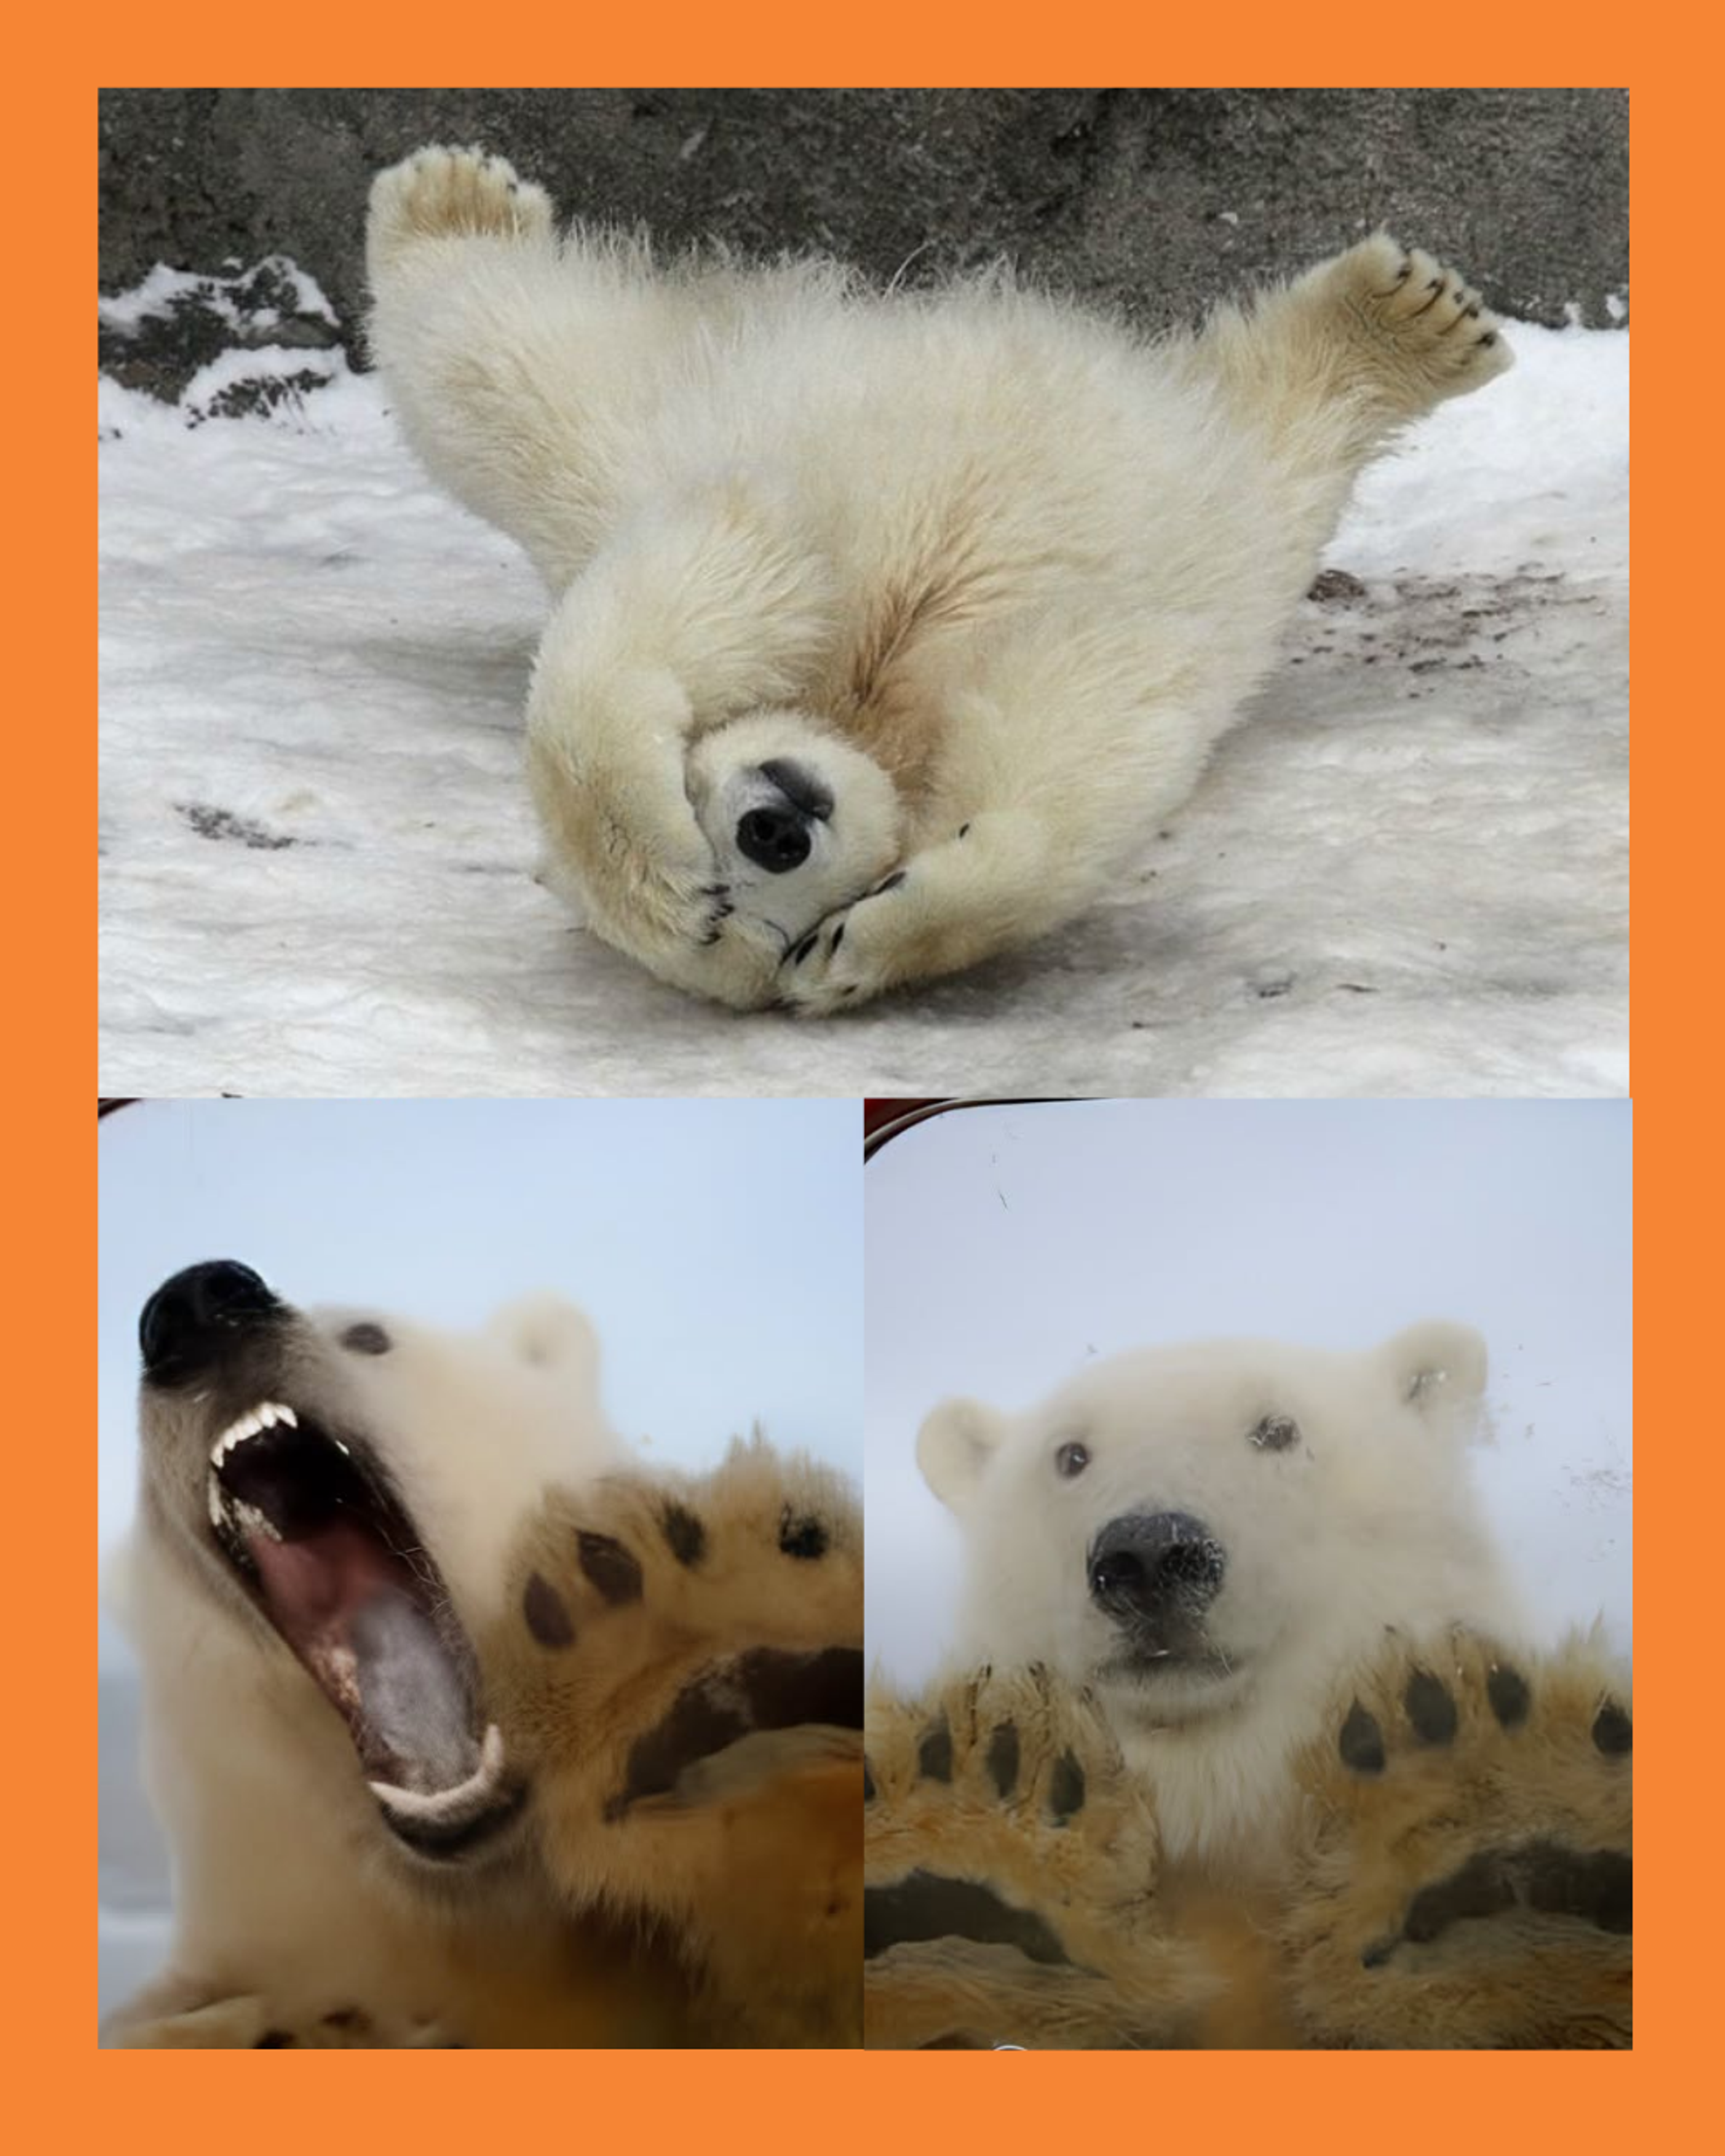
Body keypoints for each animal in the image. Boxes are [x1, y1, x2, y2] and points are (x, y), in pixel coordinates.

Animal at [363, 145, 1513, 1015]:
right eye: (754, 925)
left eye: (699, 806)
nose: (773, 825)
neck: (865, 707)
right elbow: (1076, 728)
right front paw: (887, 934)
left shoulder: (781, 546)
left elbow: (712, 592)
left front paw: (647, 845)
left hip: (661, 426)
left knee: (510, 375)